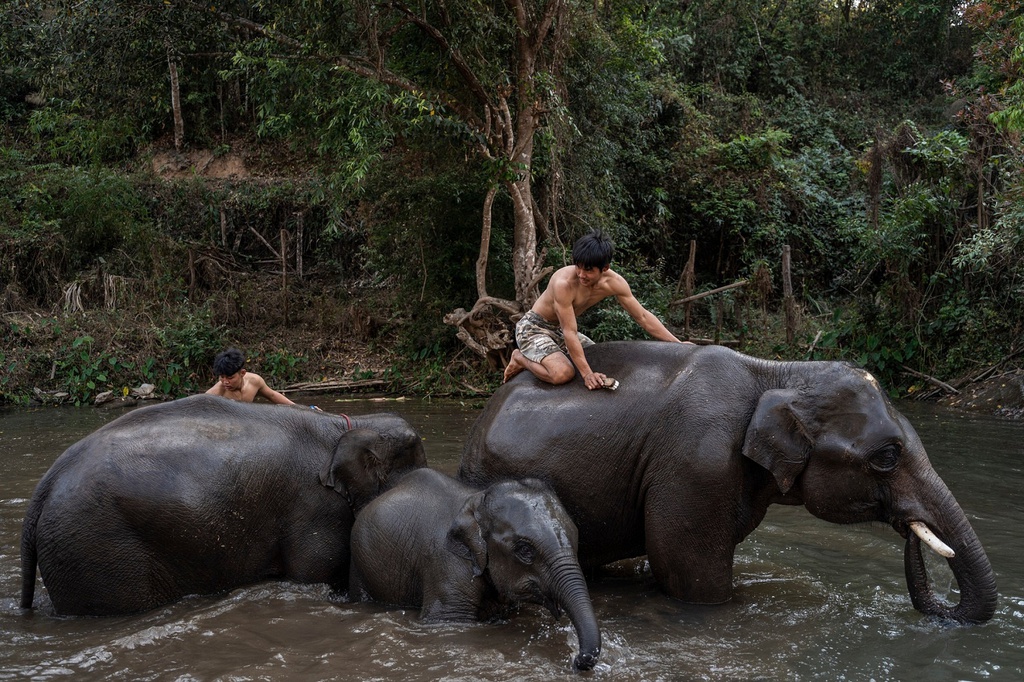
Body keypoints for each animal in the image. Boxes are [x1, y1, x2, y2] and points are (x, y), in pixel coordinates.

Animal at [350, 466, 598, 667]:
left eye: (576, 535)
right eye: (525, 550)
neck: (477, 501)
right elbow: (448, 619)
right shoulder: (448, 563)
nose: (578, 659)